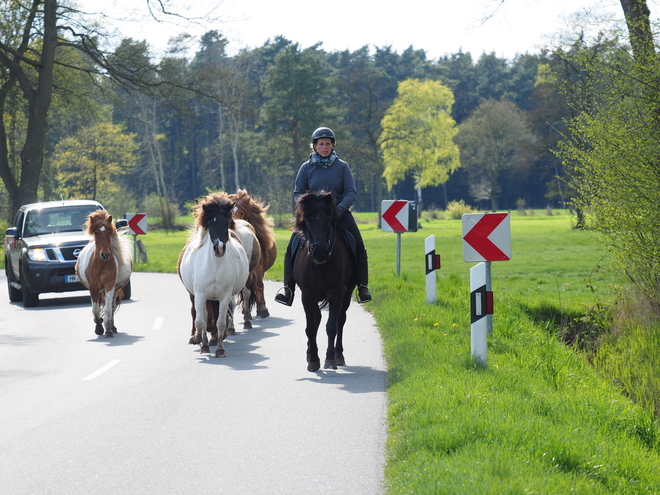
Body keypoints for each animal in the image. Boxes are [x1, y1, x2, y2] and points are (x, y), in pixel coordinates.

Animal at [75, 209, 133, 338]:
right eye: (96, 233)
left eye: (109, 232)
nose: (105, 255)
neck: (101, 264)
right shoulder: (93, 288)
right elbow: (95, 309)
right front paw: (99, 327)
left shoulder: (110, 286)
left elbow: (107, 309)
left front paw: (107, 330)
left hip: (115, 289)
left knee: (111, 307)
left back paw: (112, 327)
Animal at [292, 192, 356, 370]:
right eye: (307, 221)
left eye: (328, 221)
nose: (319, 252)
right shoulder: (307, 295)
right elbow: (311, 328)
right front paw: (313, 360)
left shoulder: (336, 293)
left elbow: (331, 326)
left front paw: (330, 358)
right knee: (317, 319)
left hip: (346, 295)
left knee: (340, 320)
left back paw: (339, 355)